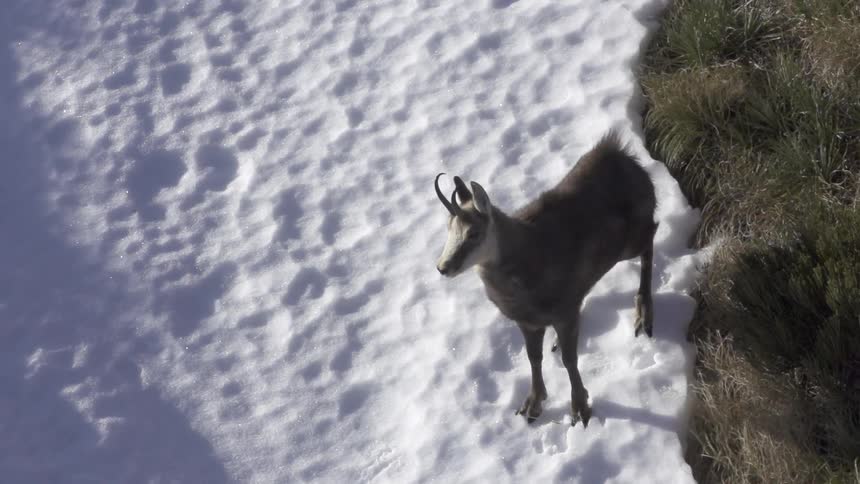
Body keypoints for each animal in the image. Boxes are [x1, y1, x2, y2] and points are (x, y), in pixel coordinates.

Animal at [434, 131, 657, 426]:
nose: (443, 267)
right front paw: (532, 405)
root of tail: (623, 156)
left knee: (651, 239)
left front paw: (580, 409)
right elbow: (534, 358)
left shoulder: (563, 314)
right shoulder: (528, 323)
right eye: (449, 229)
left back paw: (644, 314)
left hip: (630, 242)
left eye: (473, 233)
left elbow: (570, 360)